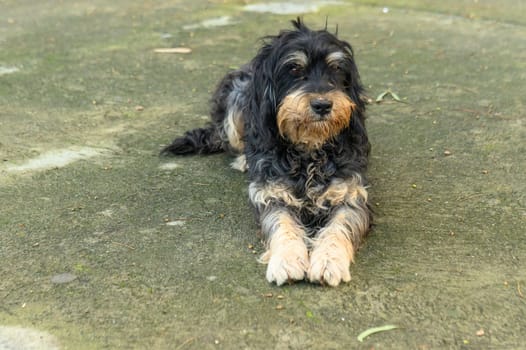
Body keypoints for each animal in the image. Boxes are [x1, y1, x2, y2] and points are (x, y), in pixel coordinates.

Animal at [163, 18, 374, 288]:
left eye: (336, 69)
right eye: (294, 69)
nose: (323, 105)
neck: (308, 153)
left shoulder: (351, 193)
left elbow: (339, 226)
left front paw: (328, 261)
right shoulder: (270, 192)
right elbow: (281, 222)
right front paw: (287, 260)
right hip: (237, 97)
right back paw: (244, 159)